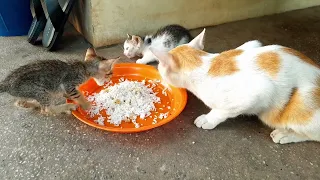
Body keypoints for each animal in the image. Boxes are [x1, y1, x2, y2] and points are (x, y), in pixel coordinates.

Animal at [151, 28, 320, 144]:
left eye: (160, 66)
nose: (158, 71)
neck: (205, 63)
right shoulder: (252, 44)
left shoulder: (260, 90)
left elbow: (222, 110)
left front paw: (208, 119)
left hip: (299, 105)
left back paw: (285, 134)